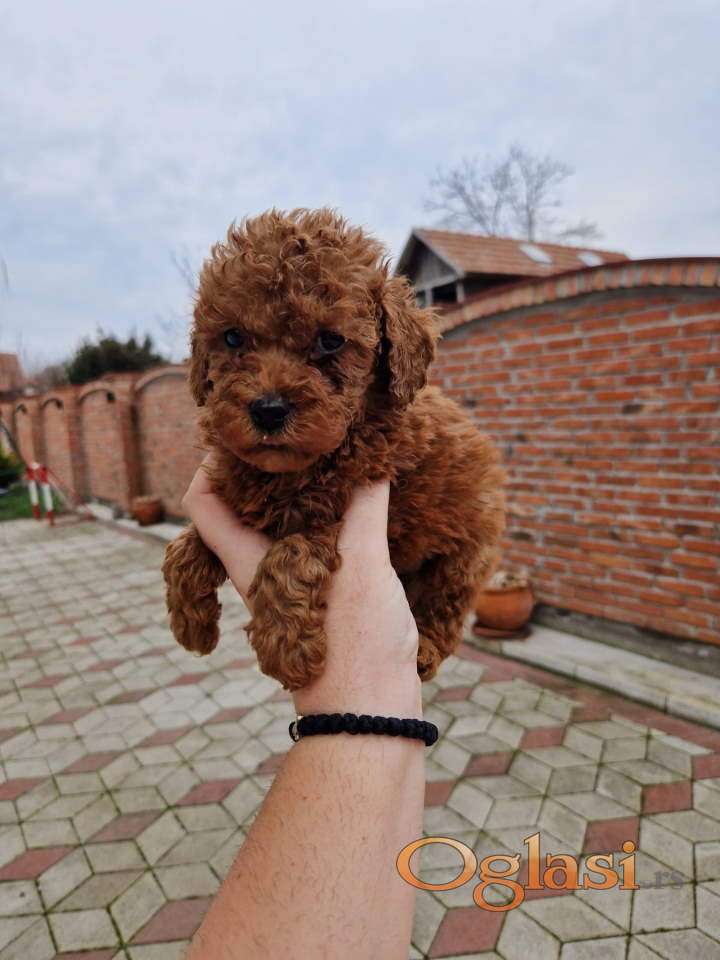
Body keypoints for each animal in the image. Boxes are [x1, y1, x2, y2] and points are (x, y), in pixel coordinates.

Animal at [162, 208, 505, 690]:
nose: (268, 410)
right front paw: (191, 624)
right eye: (232, 338)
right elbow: (182, 546)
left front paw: (287, 650)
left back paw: (424, 652)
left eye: (330, 341)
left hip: (464, 551)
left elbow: (292, 553)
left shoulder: (354, 510)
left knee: (444, 605)